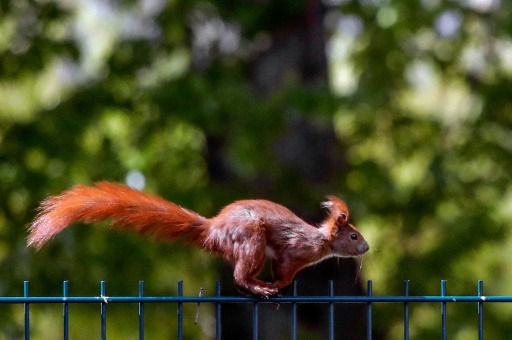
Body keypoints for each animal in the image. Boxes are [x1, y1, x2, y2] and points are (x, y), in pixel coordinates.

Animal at [27, 182, 368, 296]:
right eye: (353, 235)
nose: (367, 247)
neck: (320, 244)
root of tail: (213, 229)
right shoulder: (293, 251)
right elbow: (284, 271)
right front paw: (278, 285)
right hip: (252, 239)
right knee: (240, 275)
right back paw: (260, 287)